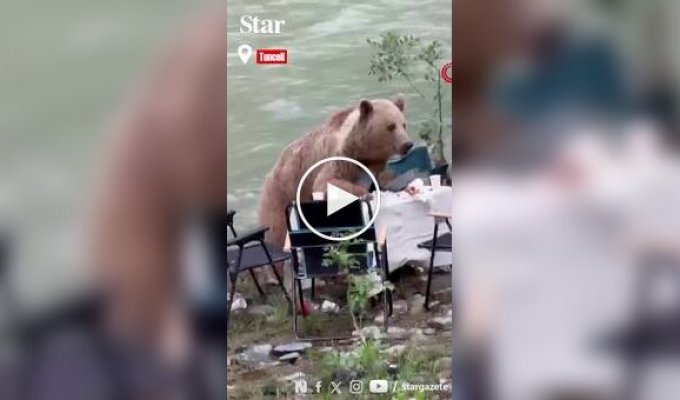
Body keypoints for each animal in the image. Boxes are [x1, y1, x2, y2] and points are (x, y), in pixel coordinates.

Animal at [258, 95, 413, 265]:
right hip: (279, 198)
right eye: (390, 126)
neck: (362, 152)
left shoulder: (373, 165)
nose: (407, 144)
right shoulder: (338, 159)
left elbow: (384, 177)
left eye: (403, 124)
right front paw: (365, 193)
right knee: (276, 233)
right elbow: (326, 182)